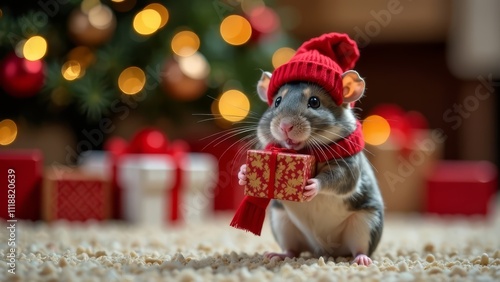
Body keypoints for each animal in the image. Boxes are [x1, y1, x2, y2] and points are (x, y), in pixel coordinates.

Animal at [238, 71, 382, 266]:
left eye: (314, 102)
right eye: (277, 101)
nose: (285, 126)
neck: (305, 150)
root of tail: (324, 250)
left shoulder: (349, 163)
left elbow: (343, 179)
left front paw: (314, 185)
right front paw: (243, 172)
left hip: (366, 224)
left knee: (359, 247)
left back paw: (361, 259)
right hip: (282, 223)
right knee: (293, 250)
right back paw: (279, 255)